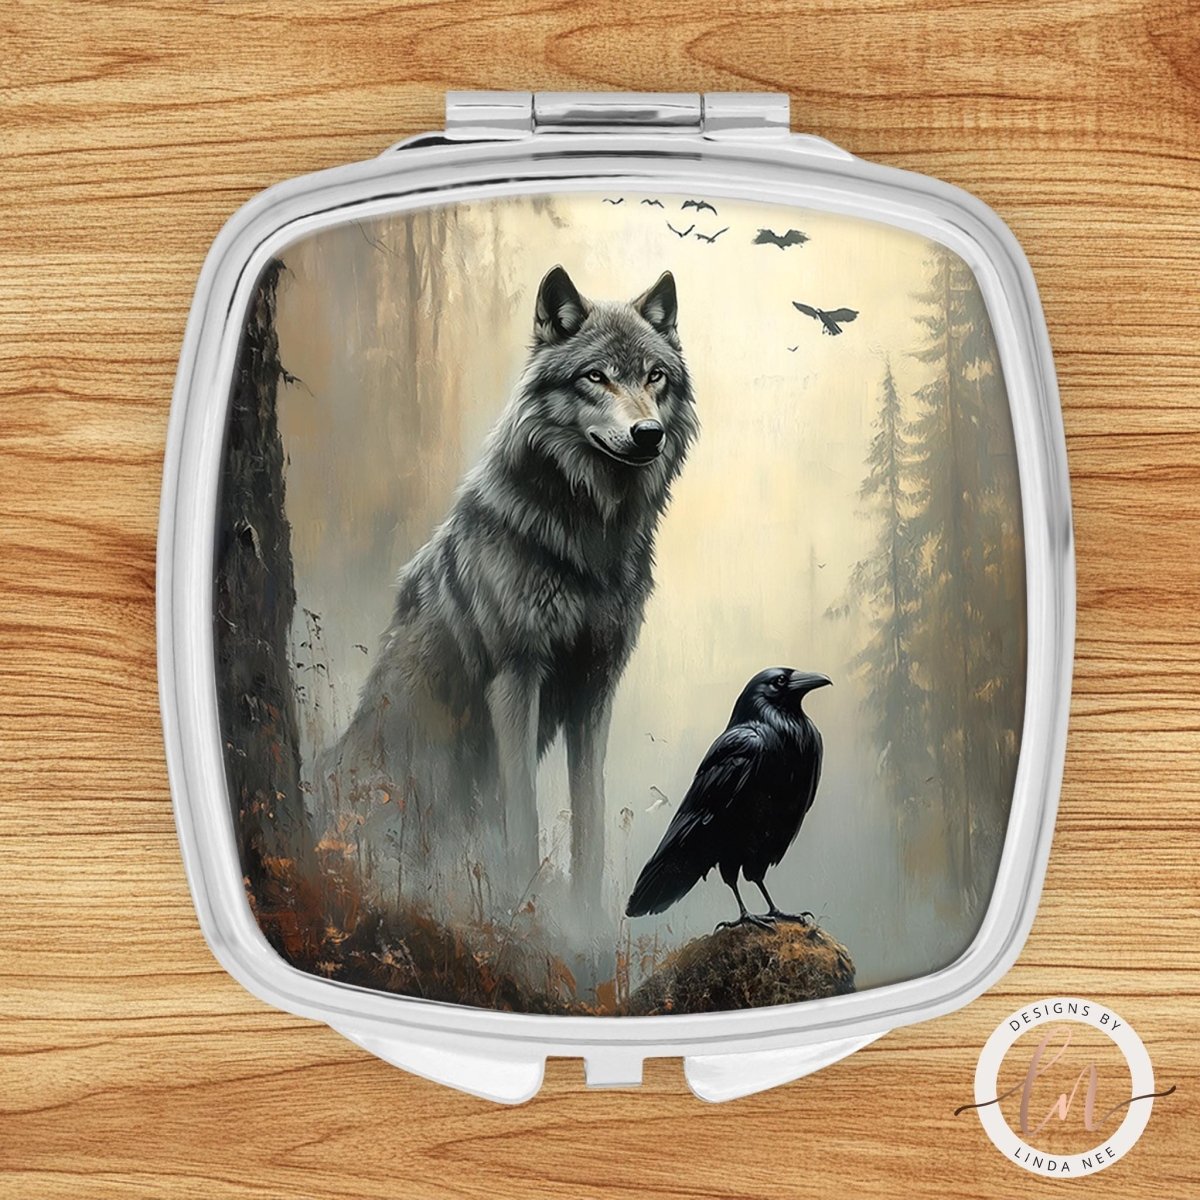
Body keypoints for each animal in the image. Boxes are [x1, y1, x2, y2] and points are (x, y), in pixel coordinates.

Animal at [324, 265, 698, 914]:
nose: (648, 433)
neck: (591, 537)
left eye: (655, 376)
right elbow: (522, 813)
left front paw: (585, 918)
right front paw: (524, 912)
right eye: (596, 376)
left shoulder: (595, 687)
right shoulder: (516, 676)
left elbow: (590, 817)